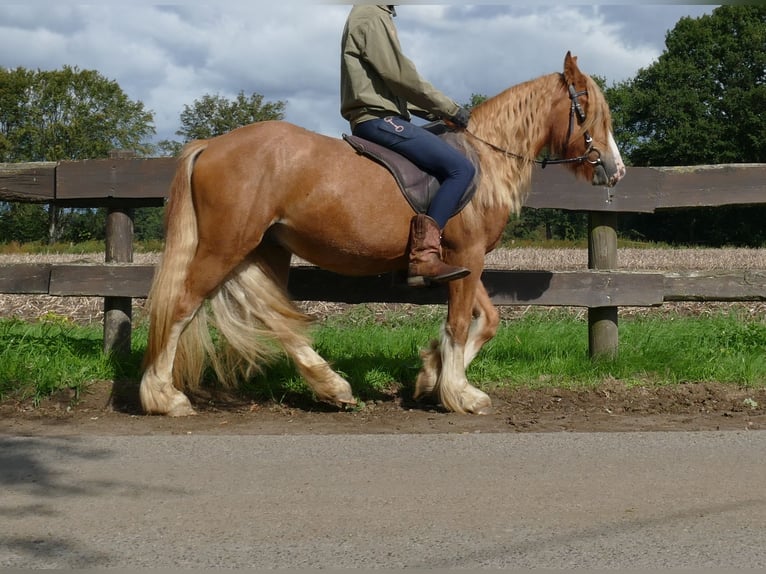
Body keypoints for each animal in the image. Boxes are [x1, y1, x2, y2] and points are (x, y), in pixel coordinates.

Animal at [140, 52, 626, 417]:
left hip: (264, 249)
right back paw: (164, 396)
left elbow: (485, 321)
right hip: (225, 245)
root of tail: (211, 145)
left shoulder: (463, 261)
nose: (616, 170)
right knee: (183, 305)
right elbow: (458, 323)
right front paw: (458, 393)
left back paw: (333, 387)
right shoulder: (468, 254)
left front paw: (430, 375)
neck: (484, 159)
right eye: (590, 111)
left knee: (272, 316)